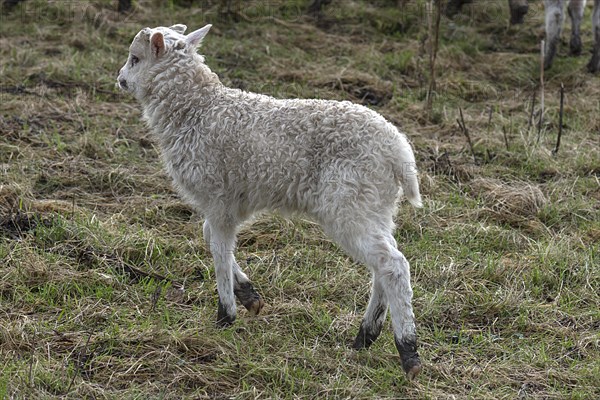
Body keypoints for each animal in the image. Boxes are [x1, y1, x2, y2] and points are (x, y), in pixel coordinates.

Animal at [117, 23, 424, 380]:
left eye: (135, 59)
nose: (121, 79)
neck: (198, 110)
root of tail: (399, 152)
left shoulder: (217, 196)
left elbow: (219, 250)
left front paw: (225, 315)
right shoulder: (229, 204)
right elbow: (211, 238)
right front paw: (249, 296)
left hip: (349, 204)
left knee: (393, 265)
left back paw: (408, 352)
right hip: (376, 205)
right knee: (384, 263)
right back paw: (366, 336)